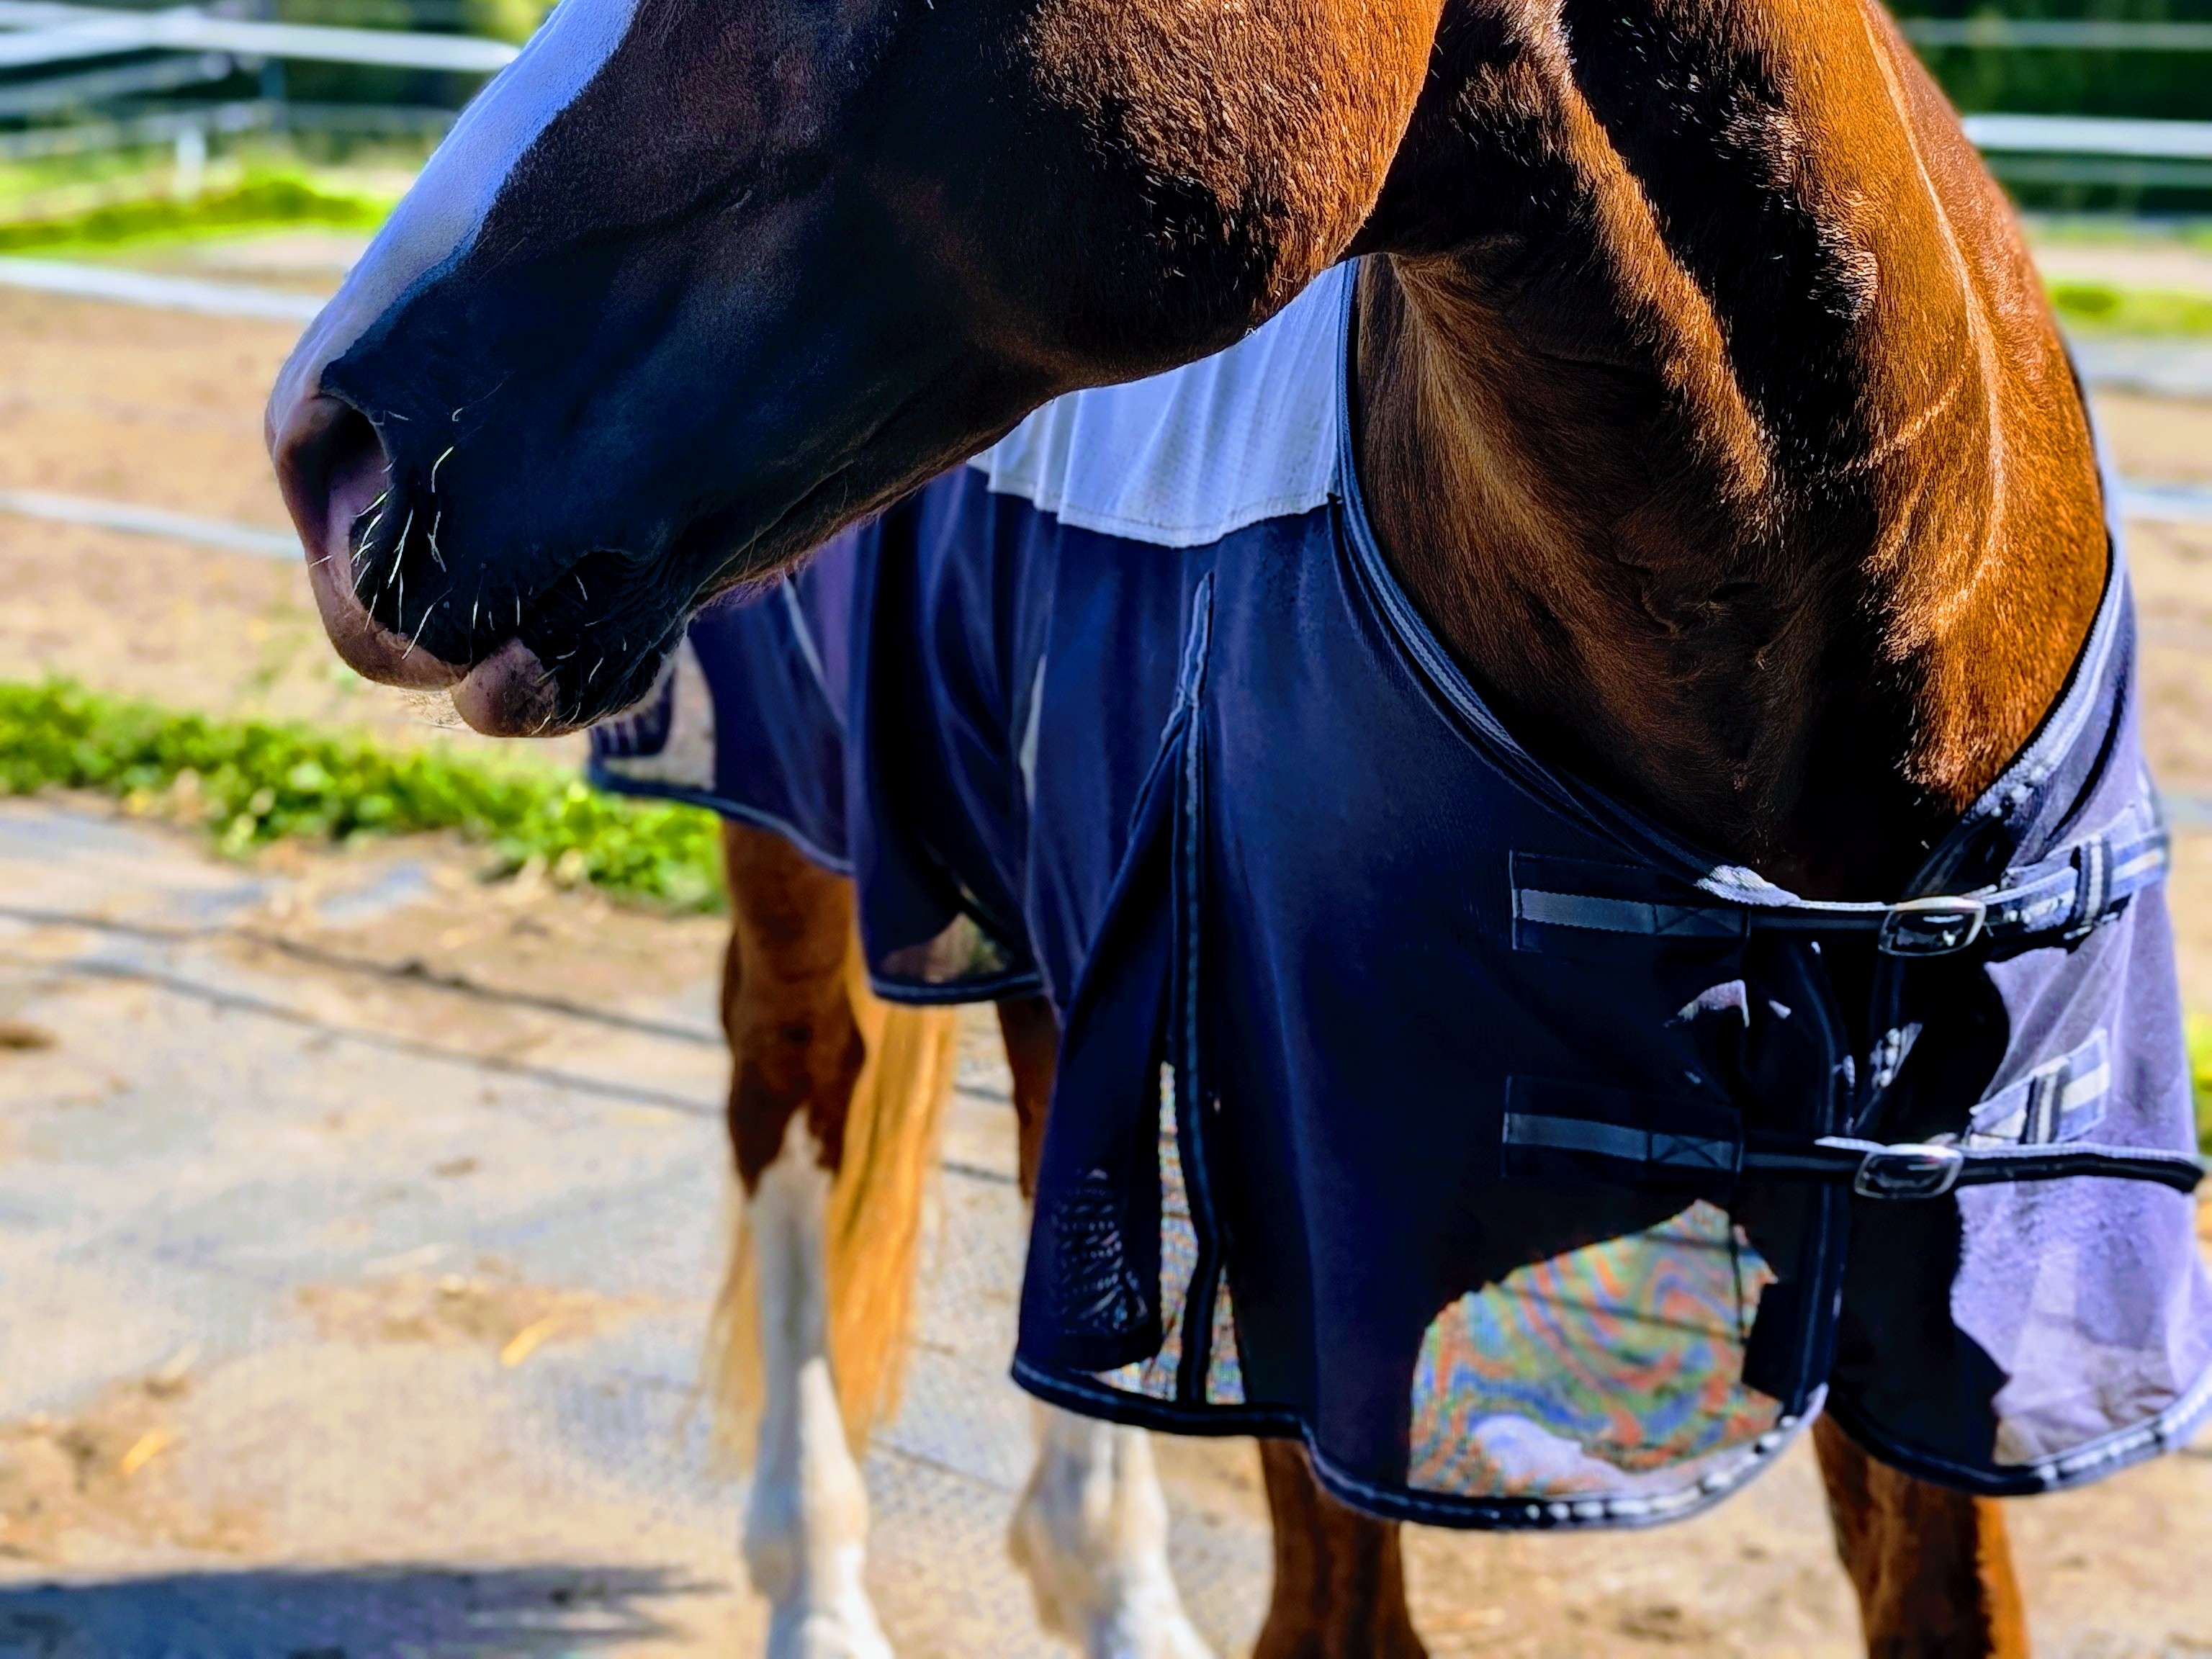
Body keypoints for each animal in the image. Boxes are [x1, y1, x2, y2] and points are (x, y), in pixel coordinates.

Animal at [261, 1, 2212, 1654]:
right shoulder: (1328, 1295)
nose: (323, 445)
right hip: (803, 849)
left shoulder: (1944, 1293)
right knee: (790, 1123)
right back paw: (817, 1594)